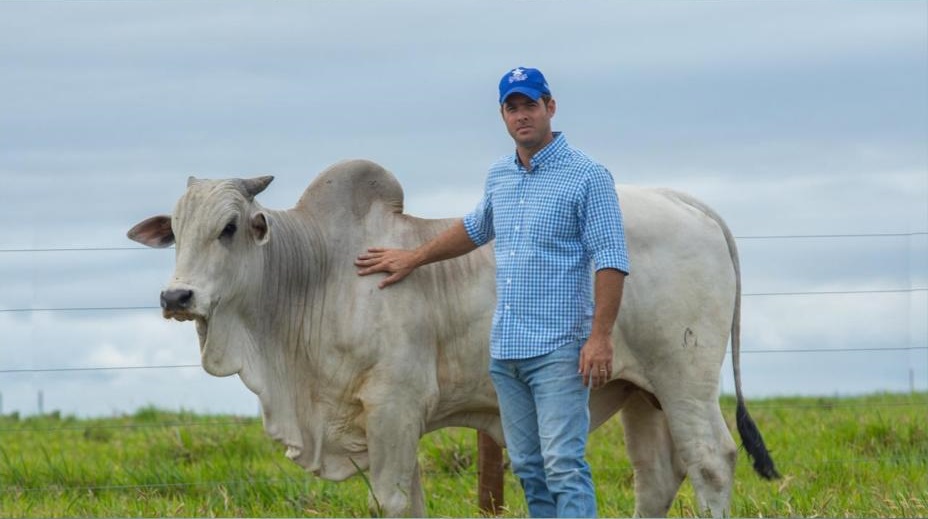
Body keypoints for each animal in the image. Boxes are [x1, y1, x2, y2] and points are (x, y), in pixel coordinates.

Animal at [125, 160, 776, 516]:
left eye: (230, 227)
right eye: (176, 230)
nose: (176, 297)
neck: (315, 275)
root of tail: (683, 200)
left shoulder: (393, 405)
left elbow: (389, 500)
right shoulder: (383, 420)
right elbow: (408, 500)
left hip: (684, 377)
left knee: (711, 462)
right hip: (642, 392)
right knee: (658, 477)